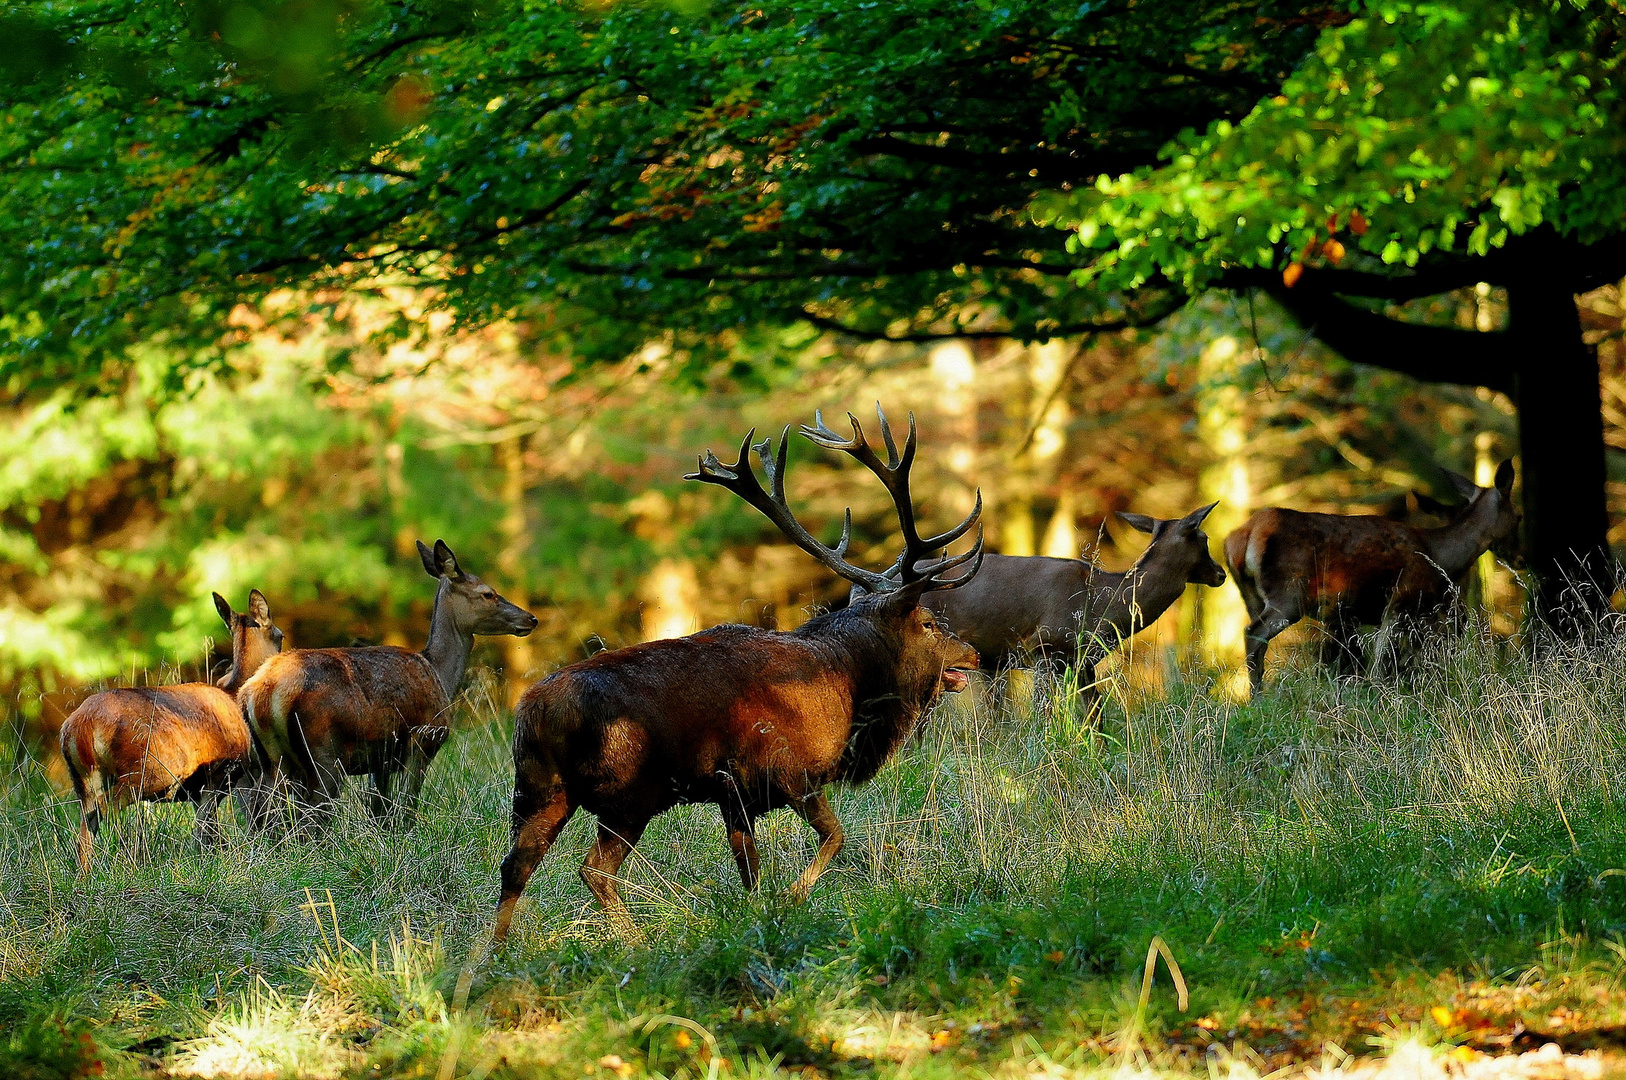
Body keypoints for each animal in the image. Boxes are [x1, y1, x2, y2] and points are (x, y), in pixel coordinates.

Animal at [61, 592, 286, 871]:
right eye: (280, 635)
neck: (233, 695)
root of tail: (82, 726)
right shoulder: (218, 774)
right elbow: (205, 831)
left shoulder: (196, 789)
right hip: (148, 768)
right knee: (104, 810)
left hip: (82, 777)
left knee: (86, 821)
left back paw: (86, 872)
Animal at [240, 536, 536, 826]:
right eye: (488, 593)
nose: (531, 618)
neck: (440, 675)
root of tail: (262, 690)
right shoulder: (422, 740)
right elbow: (407, 809)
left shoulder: (380, 759)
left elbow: (380, 811)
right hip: (324, 750)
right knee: (312, 814)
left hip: (270, 758)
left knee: (261, 809)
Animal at [487, 409, 982, 943]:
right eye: (928, 623)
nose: (973, 654)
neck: (846, 691)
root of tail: (534, 710)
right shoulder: (789, 769)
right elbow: (835, 837)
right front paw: (793, 899)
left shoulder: (735, 792)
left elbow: (750, 869)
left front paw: (758, 913)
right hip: (630, 790)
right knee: (594, 869)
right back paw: (635, 939)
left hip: (538, 789)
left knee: (515, 865)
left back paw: (495, 950)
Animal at [923, 500, 1222, 722]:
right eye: (1205, 538)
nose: (1220, 573)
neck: (1104, 606)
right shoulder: (1045, 646)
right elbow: (1043, 714)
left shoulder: (1083, 662)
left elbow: (1095, 717)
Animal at [1222, 458, 1515, 699]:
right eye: (1518, 517)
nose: (1519, 557)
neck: (1439, 555)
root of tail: (1245, 535)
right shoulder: (1401, 600)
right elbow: (1380, 659)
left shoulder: (1349, 616)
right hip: (1289, 593)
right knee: (1253, 633)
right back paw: (1257, 697)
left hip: (1251, 596)